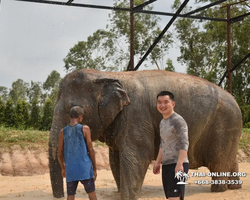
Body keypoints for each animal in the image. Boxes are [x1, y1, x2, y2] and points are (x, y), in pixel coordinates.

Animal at [48, 69, 242, 200]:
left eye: (73, 110)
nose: (60, 196)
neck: (106, 74)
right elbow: (115, 158)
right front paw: (121, 193)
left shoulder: (136, 115)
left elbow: (137, 154)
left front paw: (128, 196)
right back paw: (234, 187)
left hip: (224, 126)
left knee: (218, 163)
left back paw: (219, 190)